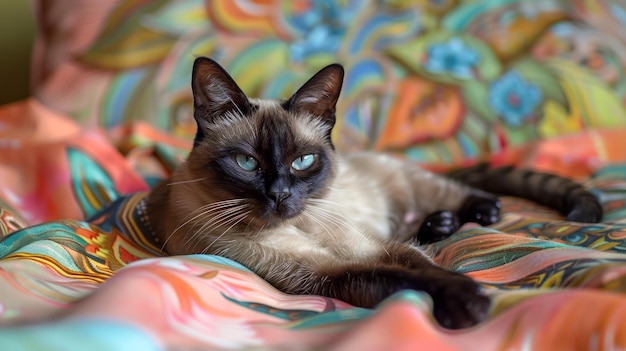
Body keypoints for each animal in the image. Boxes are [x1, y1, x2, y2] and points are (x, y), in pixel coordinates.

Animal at [144, 57, 604, 330]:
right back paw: (441, 225)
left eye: (302, 162)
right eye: (246, 163)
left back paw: (475, 213)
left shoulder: (375, 247)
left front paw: (468, 296)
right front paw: (468, 306)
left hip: (414, 186)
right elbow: (406, 279)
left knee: (457, 193)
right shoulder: (329, 274)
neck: (302, 226)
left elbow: (427, 268)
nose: (279, 195)